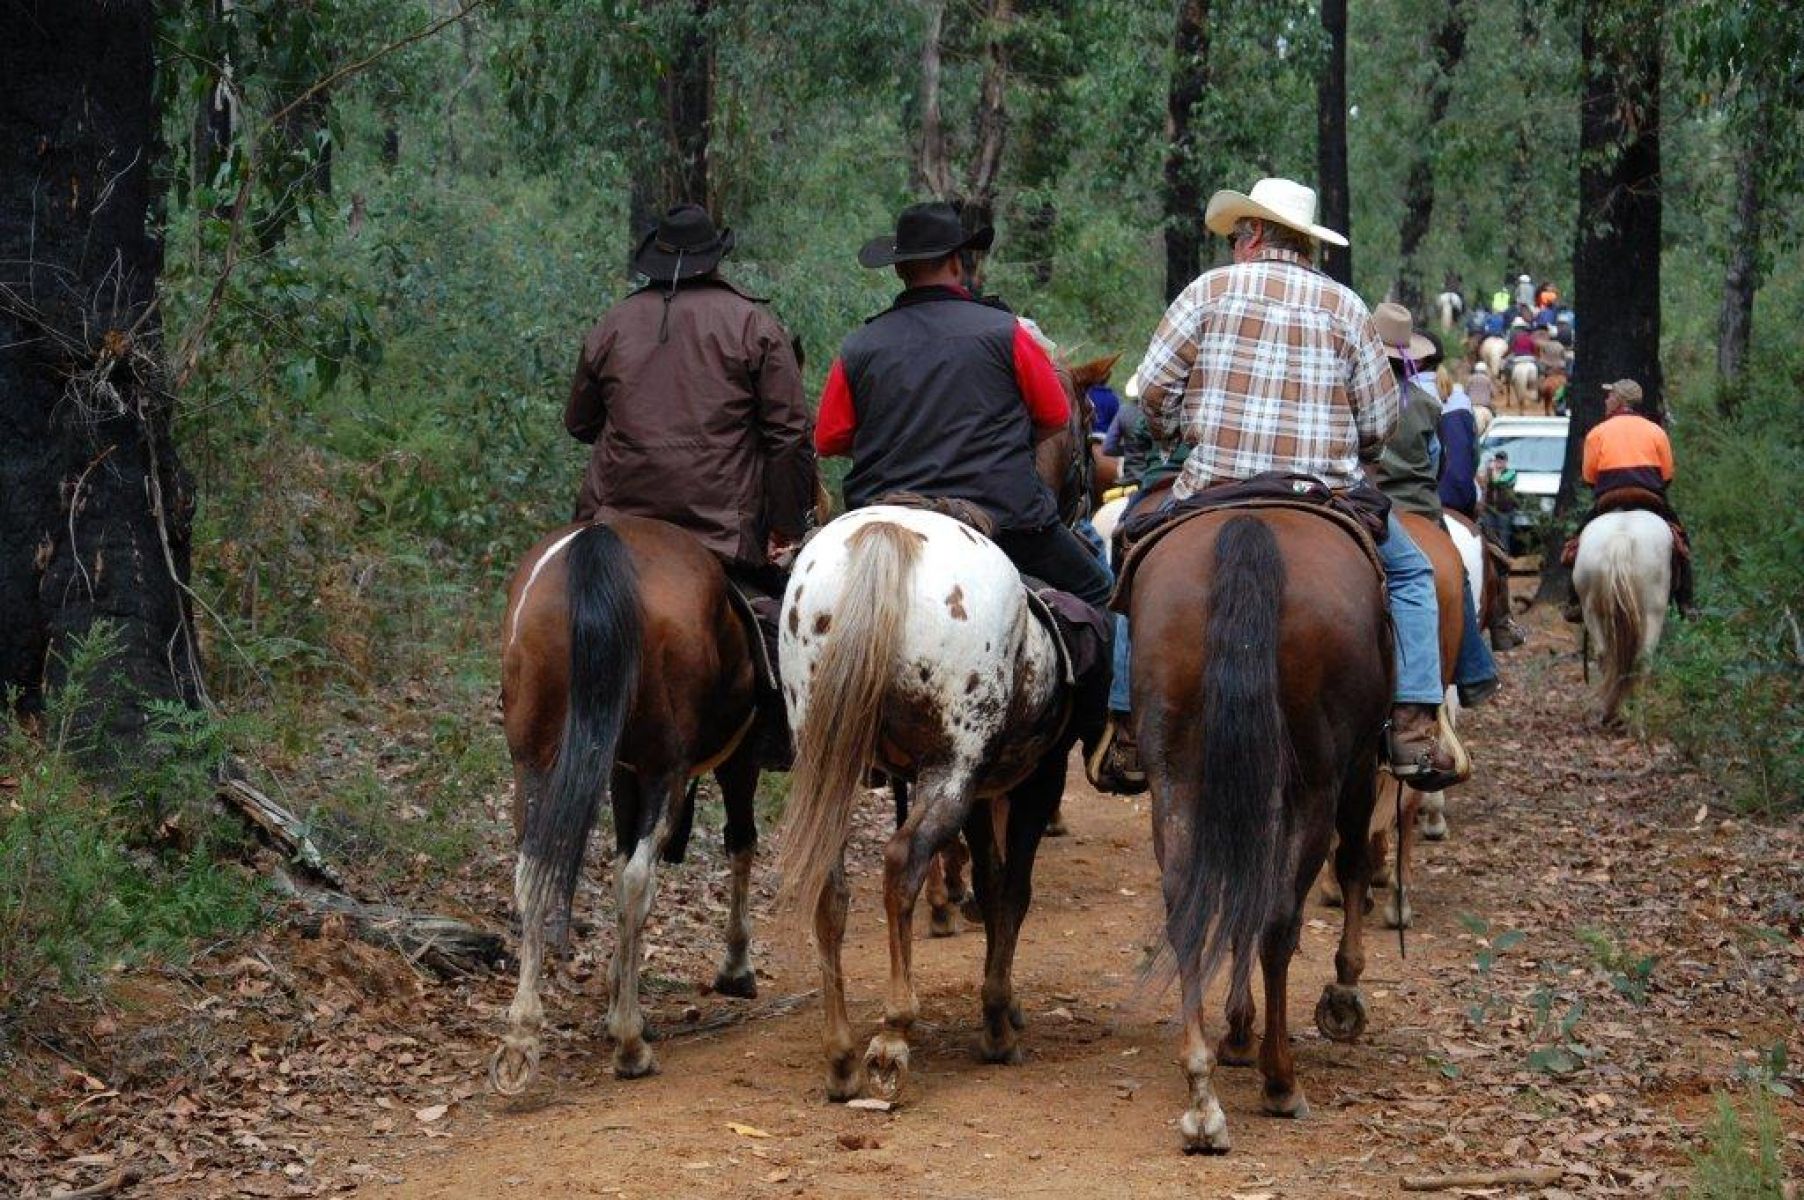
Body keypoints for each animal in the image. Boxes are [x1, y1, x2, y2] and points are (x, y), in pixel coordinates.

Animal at [490, 516, 764, 1097]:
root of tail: (603, 541)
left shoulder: (620, 769)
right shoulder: (738, 757)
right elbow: (739, 844)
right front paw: (734, 967)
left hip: (533, 756)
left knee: (531, 872)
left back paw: (522, 1037)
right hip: (667, 766)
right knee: (641, 879)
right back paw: (630, 1046)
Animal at [772, 501, 1075, 1097]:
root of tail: (886, 532)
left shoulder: (982, 791)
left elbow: (992, 881)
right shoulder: (1034, 781)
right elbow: (1012, 890)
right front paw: (999, 1024)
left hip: (830, 754)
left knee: (830, 885)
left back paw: (841, 1056)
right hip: (951, 765)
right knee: (902, 860)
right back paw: (893, 1033)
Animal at [1118, 508, 1385, 1154]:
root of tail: (1249, 523)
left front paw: (1238, 1030)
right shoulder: (1362, 764)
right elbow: (1352, 862)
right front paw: (1344, 993)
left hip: (1177, 775)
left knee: (1190, 910)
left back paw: (1201, 1096)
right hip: (1319, 777)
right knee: (1280, 917)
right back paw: (1281, 1081)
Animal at [1580, 505, 1674, 721]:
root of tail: (1620, 538)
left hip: (1591, 611)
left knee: (1605, 655)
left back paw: (1610, 711)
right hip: (1653, 612)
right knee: (1642, 660)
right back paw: (1636, 718)